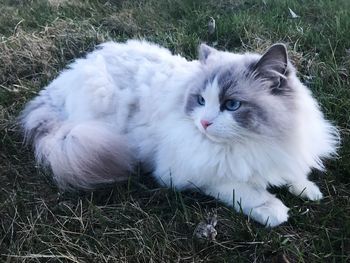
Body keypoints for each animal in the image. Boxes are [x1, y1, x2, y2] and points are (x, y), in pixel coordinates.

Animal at [19, 40, 340, 228]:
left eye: (231, 105)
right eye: (201, 100)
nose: (205, 123)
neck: (254, 141)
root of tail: (57, 86)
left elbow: (292, 172)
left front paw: (308, 190)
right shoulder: (193, 172)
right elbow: (242, 189)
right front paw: (273, 209)